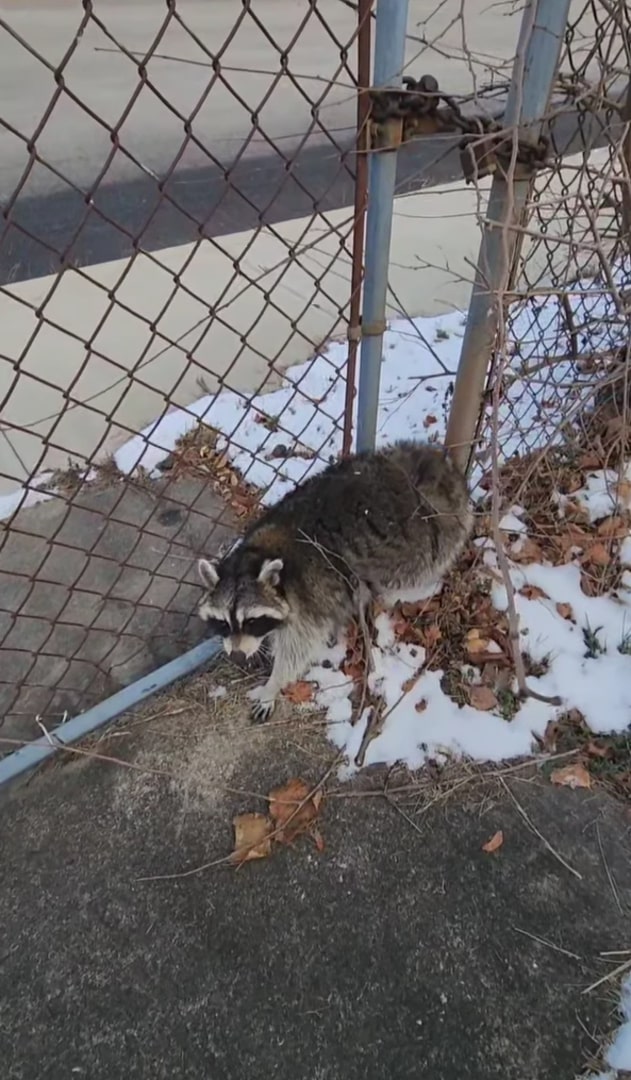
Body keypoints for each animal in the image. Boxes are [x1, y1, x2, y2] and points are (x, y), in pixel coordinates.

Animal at [197, 441, 472, 722]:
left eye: (252, 621)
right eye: (223, 622)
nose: (237, 656)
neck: (257, 556)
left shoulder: (309, 595)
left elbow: (297, 650)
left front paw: (272, 686)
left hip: (432, 535)